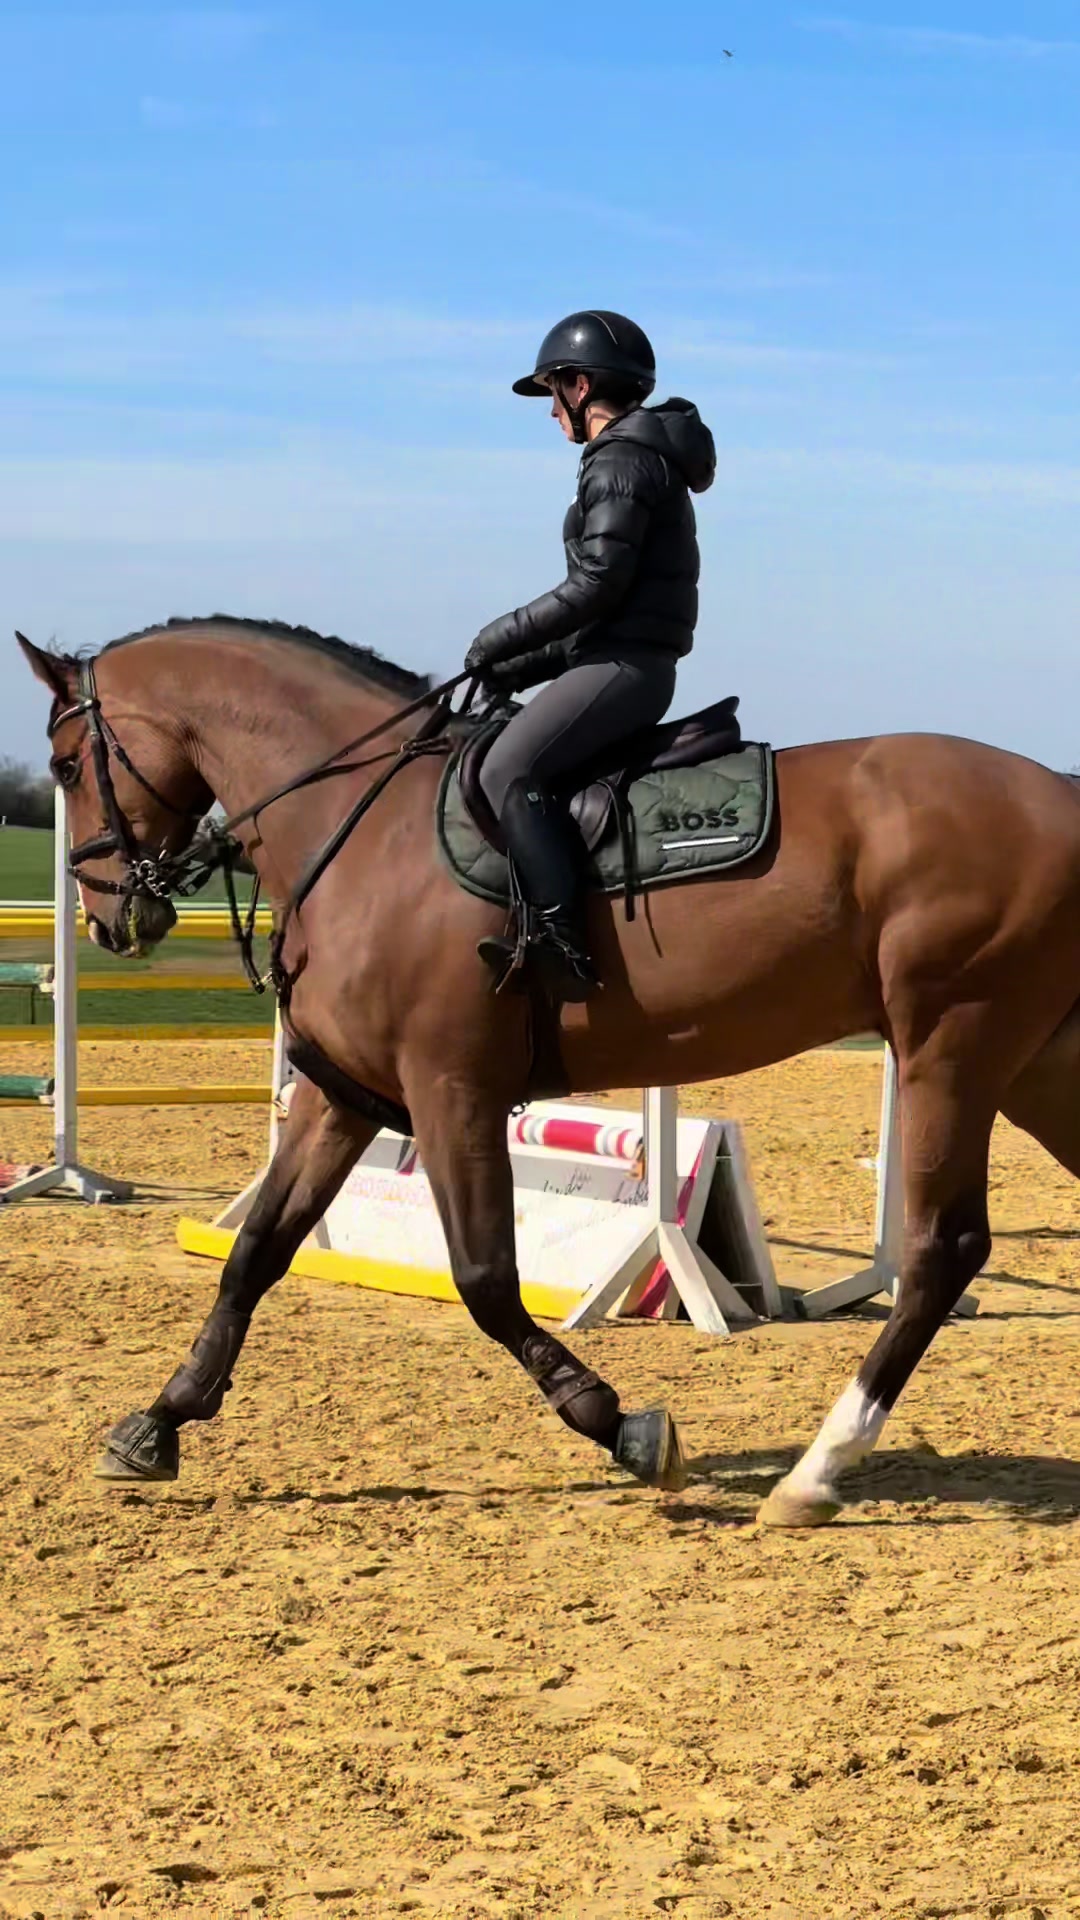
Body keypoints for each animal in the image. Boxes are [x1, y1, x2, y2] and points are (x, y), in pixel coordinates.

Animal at [18, 616, 1080, 1527]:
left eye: (67, 765)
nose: (109, 919)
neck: (363, 828)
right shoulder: (342, 1097)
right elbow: (256, 1254)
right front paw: (157, 1423)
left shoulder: (451, 1091)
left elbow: (487, 1281)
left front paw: (624, 1428)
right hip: (1030, 1064)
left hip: (953, 1044)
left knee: (941, 1249)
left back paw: (816, 1471)